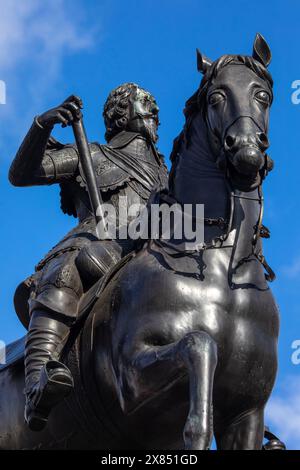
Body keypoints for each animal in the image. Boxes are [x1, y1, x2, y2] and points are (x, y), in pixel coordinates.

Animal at [0, 35, 282, 450]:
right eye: (216, 95)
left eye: (263, 94)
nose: (245, 148)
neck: (222, 272)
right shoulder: (132, 379)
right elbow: (199, 346)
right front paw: (58, 113)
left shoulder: (248, 409)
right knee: (59, 289)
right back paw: (44, 385)